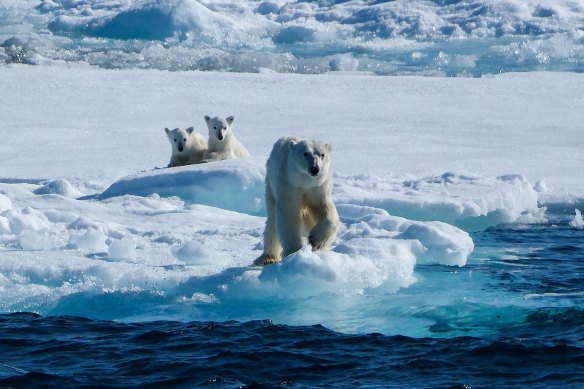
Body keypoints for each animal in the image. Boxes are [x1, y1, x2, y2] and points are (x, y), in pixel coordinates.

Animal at [253, 135, 340, 266]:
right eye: (305, 153)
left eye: (322, 154)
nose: (315, 169)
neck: (304, 182)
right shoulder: (288, 184)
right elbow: (288, 215)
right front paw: (293, 252)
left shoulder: (319, 188)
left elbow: (326, 209)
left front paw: (315, 240)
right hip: (270, 186)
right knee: (272, 222)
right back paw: (268, 258)